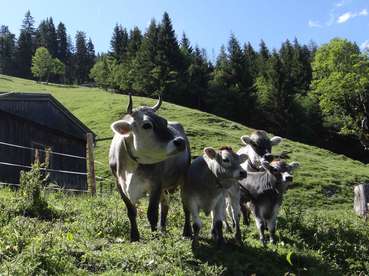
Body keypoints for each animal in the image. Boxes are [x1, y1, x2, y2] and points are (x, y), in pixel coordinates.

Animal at [108, 95, 190, 242]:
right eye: (147, 125)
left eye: (164, 122)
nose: (180, 142)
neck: (131, 167)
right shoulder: (119, 184)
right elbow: (131, 211)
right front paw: (135, 236)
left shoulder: (156, 184)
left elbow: (152, 213)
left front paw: (154, 236)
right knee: (165, 204)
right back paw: (162, 229)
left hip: (184, 179)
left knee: (185, 206)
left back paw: (186, 232)